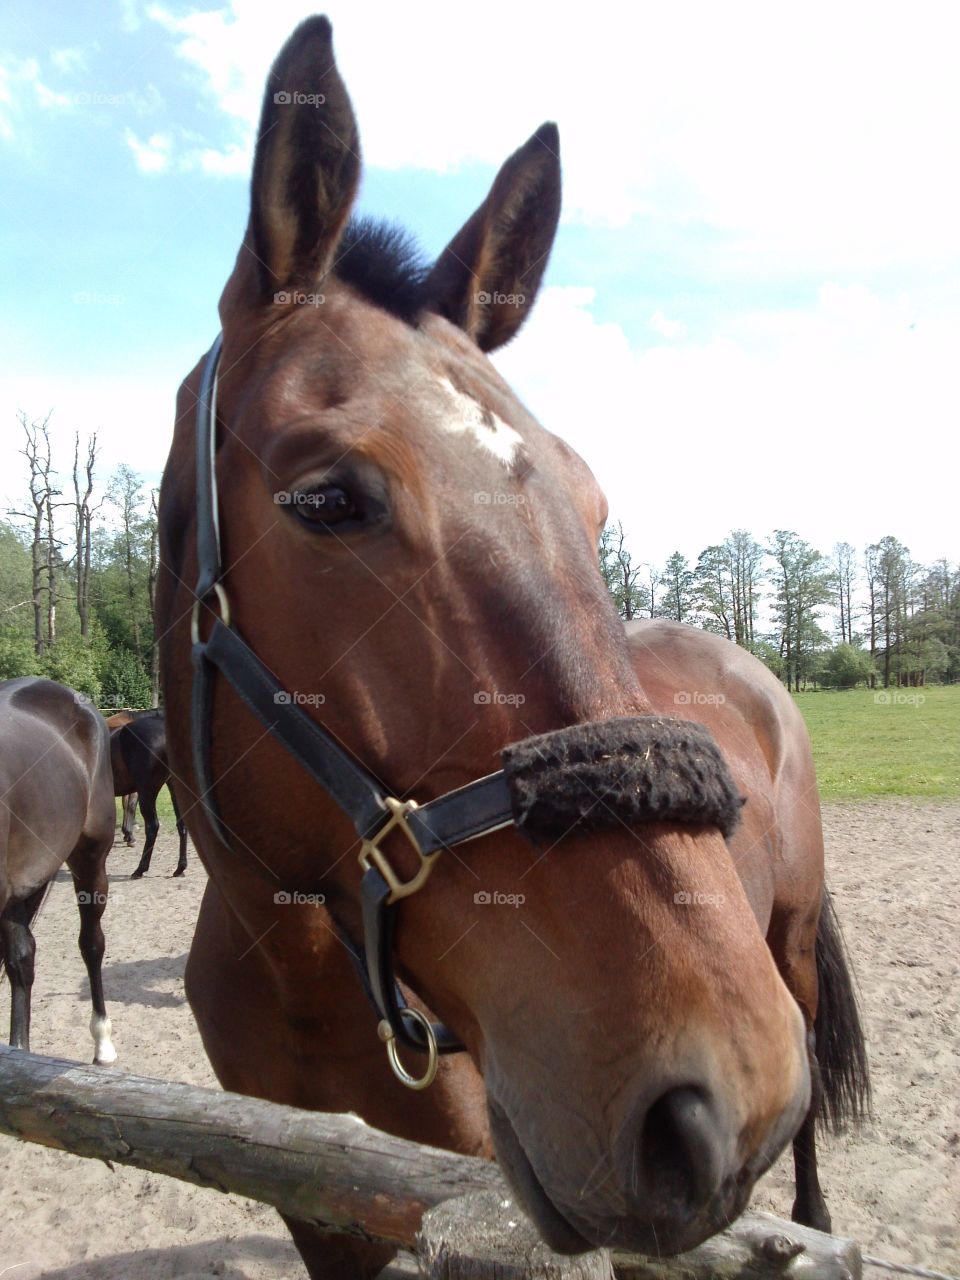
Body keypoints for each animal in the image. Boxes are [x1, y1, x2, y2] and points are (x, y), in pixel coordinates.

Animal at [154, 22, 870, 1280]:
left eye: (593, 506)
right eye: (327, 499)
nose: (725, 1086)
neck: (301, 966)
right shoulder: (315, 1200)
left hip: (787, 944)